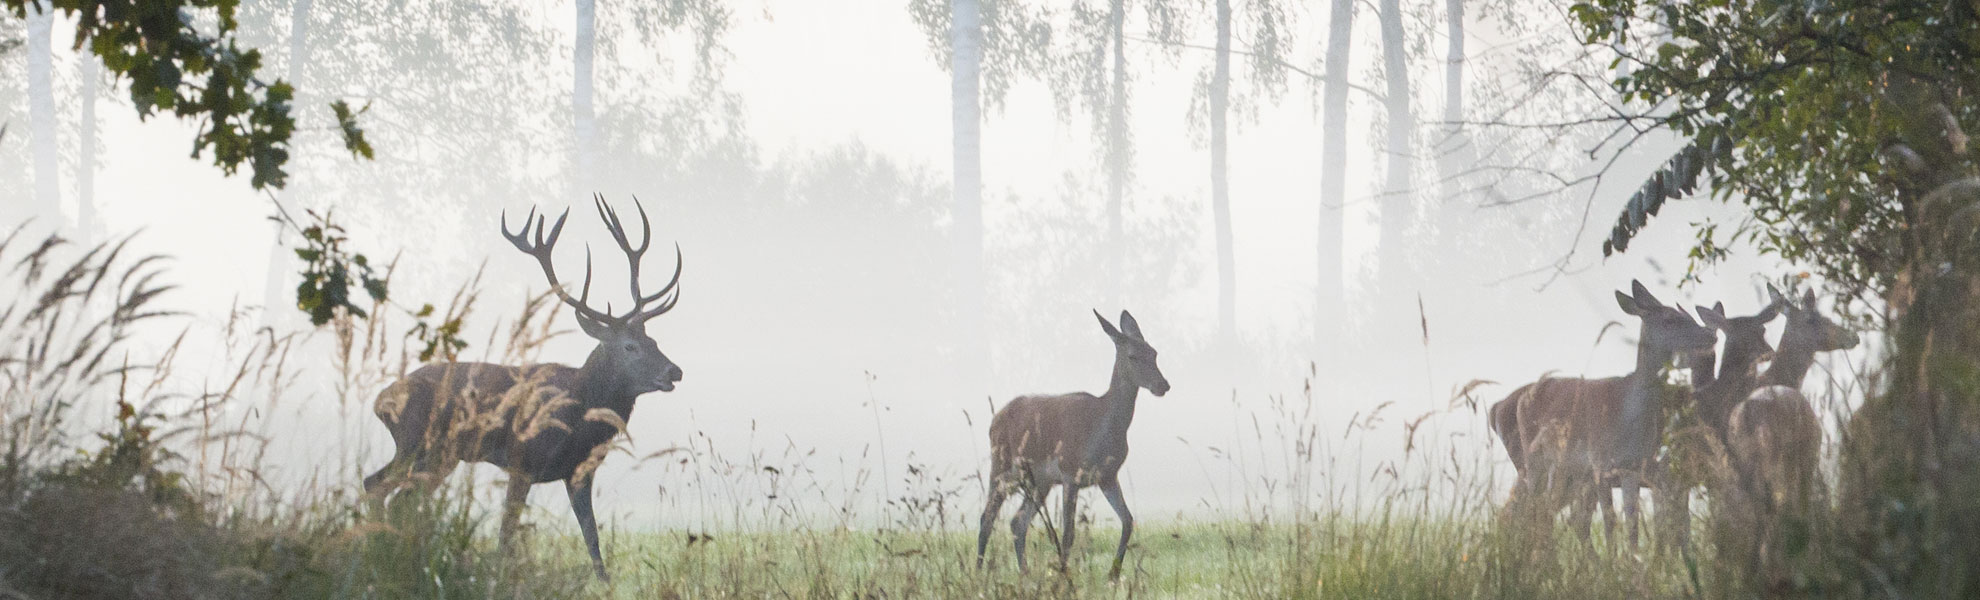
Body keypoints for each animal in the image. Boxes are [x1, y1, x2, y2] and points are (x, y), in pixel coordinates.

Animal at [360, 198, 685, 582]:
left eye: (654, 341)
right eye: (629, 346)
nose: (675, 371)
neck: (579, 416)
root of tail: (381, 401)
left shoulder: (579, 473)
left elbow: (592, 539)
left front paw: (604, 584)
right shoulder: (522, 461)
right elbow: (507, 535)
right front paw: (499, 579)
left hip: (437, 455)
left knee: (389, 494)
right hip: (419, 445)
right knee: (381, 489)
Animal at [970, 312, 1156, 582]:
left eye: (1155, 353)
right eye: (1133, 355)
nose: (1163, 385)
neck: (1102, 429)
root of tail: (994, 420)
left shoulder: (1107, 476)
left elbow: (1128, 520)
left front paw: (1113, 573)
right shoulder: (1070, 472)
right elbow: (1068, 533)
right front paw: (1063, 576)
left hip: (1040, 482)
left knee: (1017, 521)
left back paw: (1024, 573)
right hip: (1002, 467)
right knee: (987, 517)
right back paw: (979, 572)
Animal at [1488, 281, 1710, 550]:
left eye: (1689, 316)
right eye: (1670, 319)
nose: (1710, 334)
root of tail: (1501, 406)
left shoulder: (1632, 469)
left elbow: (1633, 525)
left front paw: (1633, 559)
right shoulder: (1601, 465)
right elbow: (1611, 522)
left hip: (1564, 476)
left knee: (1545, 515)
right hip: (1535, 463)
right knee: (1534, 513)